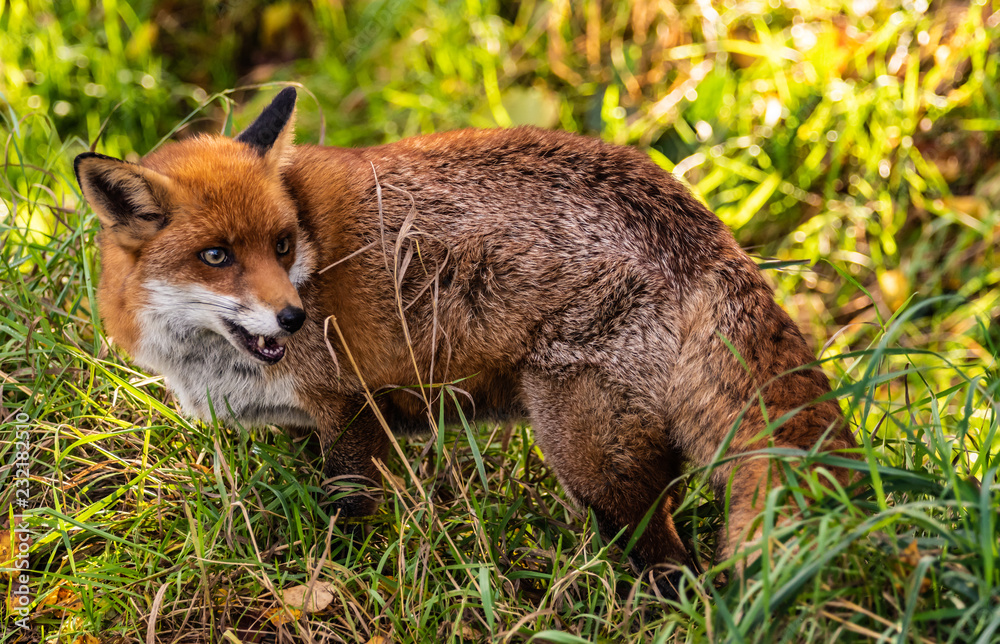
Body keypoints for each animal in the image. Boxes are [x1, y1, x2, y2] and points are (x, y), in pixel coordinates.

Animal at [75, 87, 857, 584]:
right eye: (216, 257)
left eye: (282, 243)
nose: (295, 318)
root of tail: (701, 227)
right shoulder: (306, 422)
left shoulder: (351, 407)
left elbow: (348, 511)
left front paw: (332, 573)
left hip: (590, 459)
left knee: (671, 562)